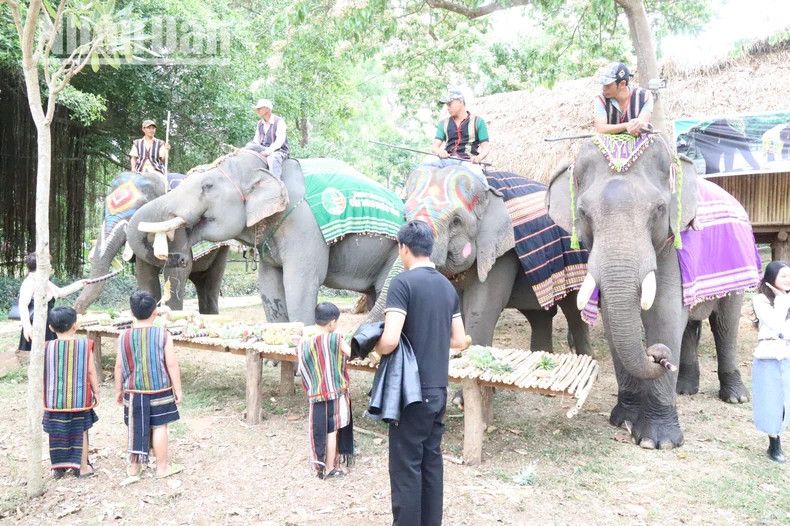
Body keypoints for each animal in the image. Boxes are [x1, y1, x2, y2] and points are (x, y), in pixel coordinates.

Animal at [74, 171, 229, 314]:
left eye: (142, 205)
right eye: (104, 204)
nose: (182, 259)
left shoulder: (178, 226)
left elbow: (177, 274)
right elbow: (145, 274)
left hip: (223, 247)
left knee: (211, 283)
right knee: (199, 280)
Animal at [399, 165, 592, 355]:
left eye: (456, 222)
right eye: (405, 218)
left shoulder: (504, 251)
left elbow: (481, 309)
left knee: (574, 313)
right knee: (539, 315)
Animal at [546, 133, 758, 449]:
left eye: (658, 209)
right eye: (583, 213)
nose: (659, 358)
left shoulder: (671, 243)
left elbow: (664, 314)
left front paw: (656, 442)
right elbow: (613, 320)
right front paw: (623, 419)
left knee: (725, 323)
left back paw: (735, 397)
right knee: (690, 326)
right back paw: (685, 389)